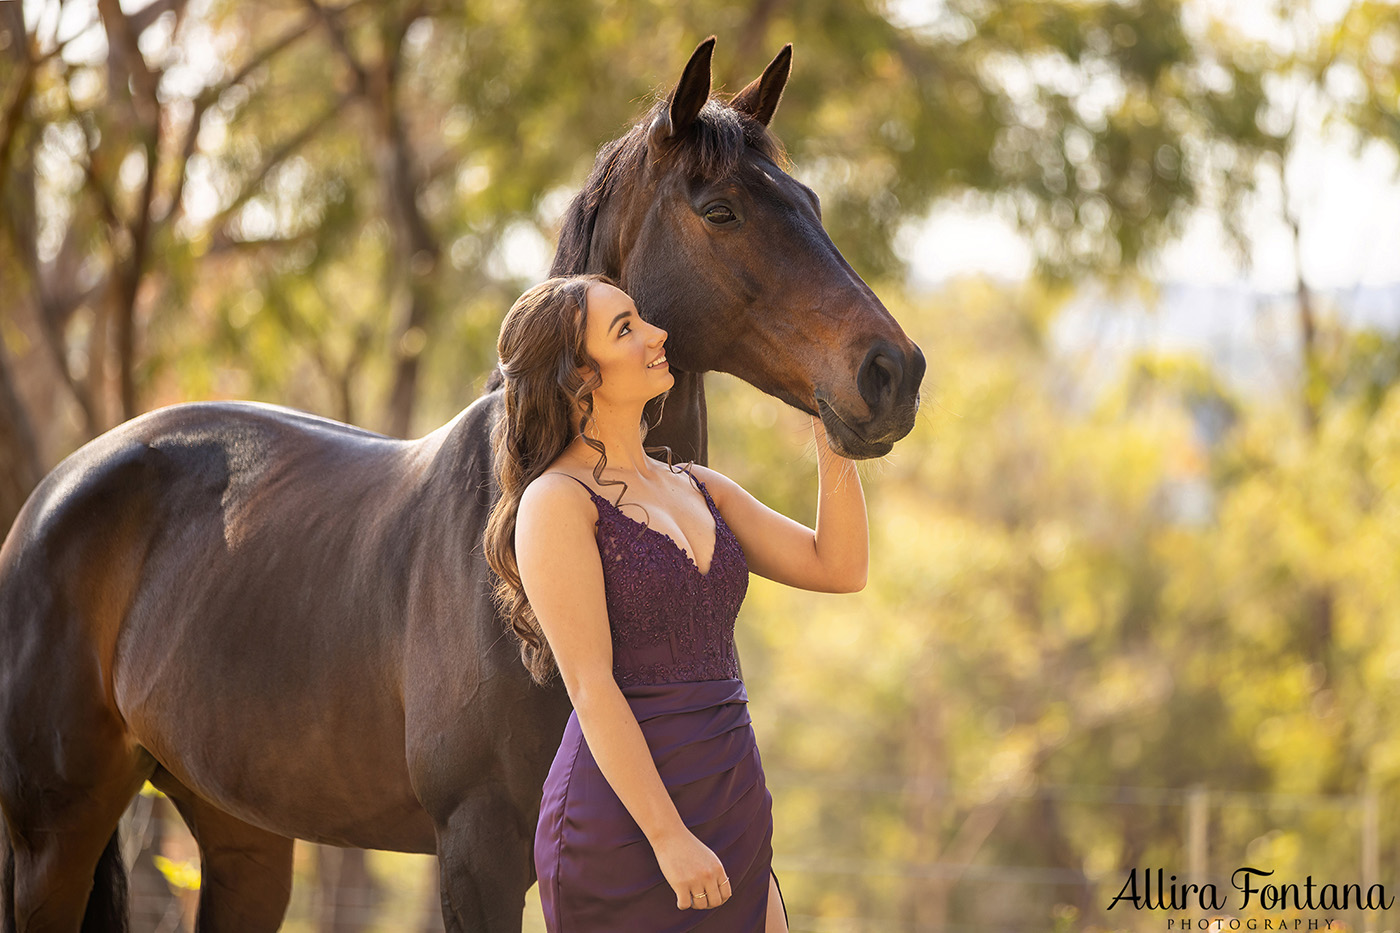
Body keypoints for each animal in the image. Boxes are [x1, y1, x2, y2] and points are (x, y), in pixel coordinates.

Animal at [5, 38, 929, 930]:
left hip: (243, 833)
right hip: (55, 839)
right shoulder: (477, 853)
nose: (893, 373)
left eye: (810, 201)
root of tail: (55, 494)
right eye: (721, 211)